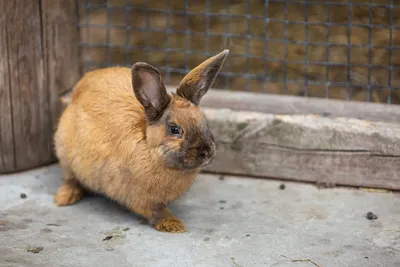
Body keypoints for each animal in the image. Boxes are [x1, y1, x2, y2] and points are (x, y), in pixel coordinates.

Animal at [53, 49, 228, 233]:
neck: (152, 153)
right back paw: (64, 198)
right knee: (71, 179)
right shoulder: (140, 198)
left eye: (204, 121)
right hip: (66, 155)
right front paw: (174, 225)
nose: (207, 152)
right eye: (174, 129)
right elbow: (156, 211)